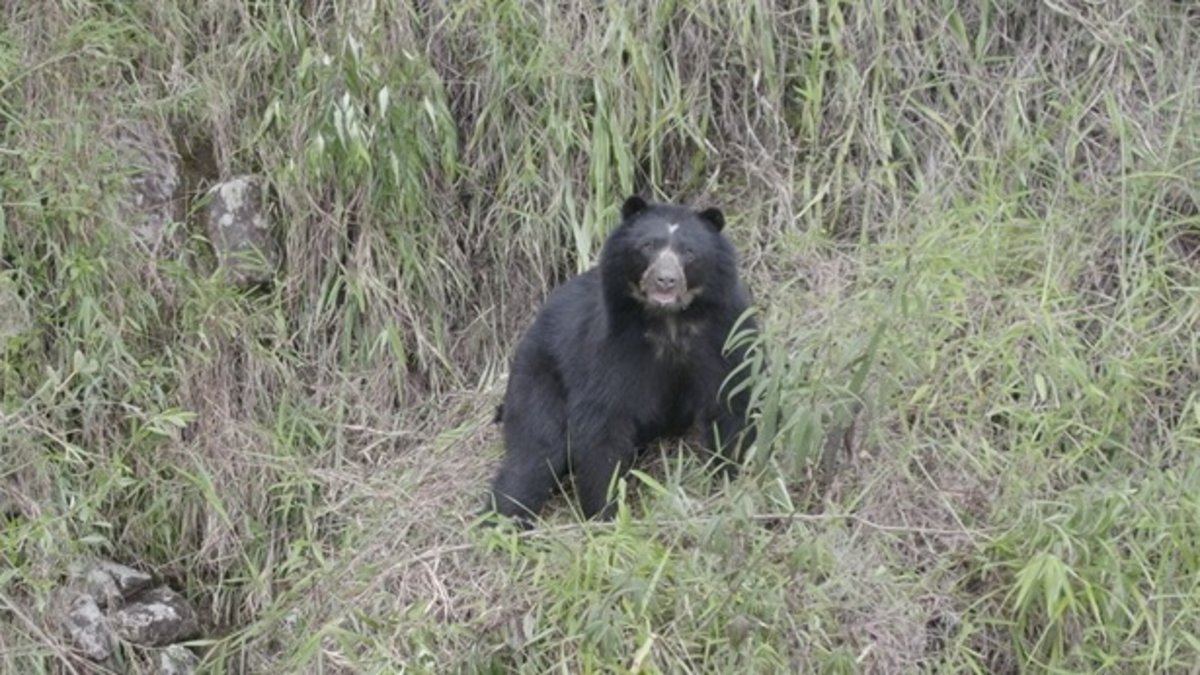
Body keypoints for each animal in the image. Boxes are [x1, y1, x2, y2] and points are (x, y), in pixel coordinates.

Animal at [484, 195, 757, 527]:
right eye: (647, 246)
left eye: (689, 252)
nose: (665, 281)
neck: (670, 323)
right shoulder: (611, 346)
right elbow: (603, 423)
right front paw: (606, 512)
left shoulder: (724, 335)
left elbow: (731, 402)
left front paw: (728, 479)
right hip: (539, 375)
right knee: (534, 453)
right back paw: (500, 520)